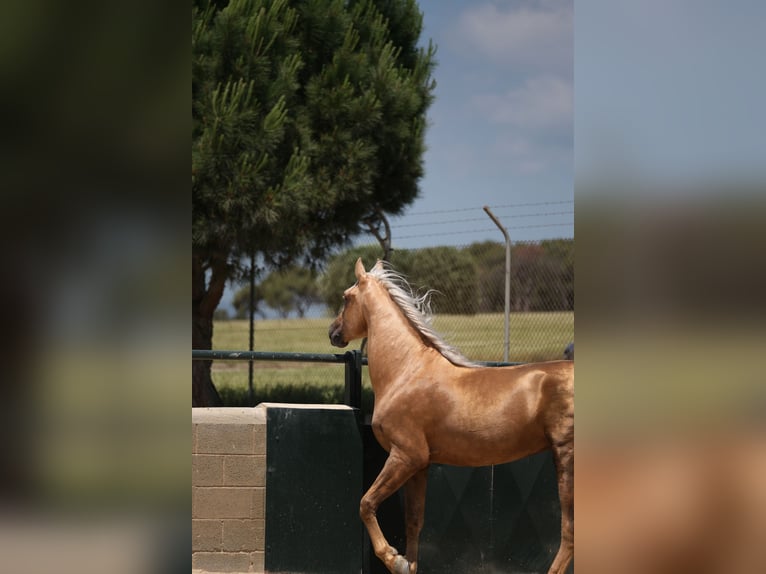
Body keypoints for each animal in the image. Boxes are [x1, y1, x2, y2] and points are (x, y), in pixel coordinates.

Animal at [330, 260, 576, 574]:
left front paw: (394, 560)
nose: (333, 332)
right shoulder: (419, 465)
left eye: (346, 297)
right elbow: (414, 523)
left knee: (570, 529)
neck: (406, 371)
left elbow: (366, 503)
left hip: (567, 457)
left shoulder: (405, 456)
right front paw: (407, 564)